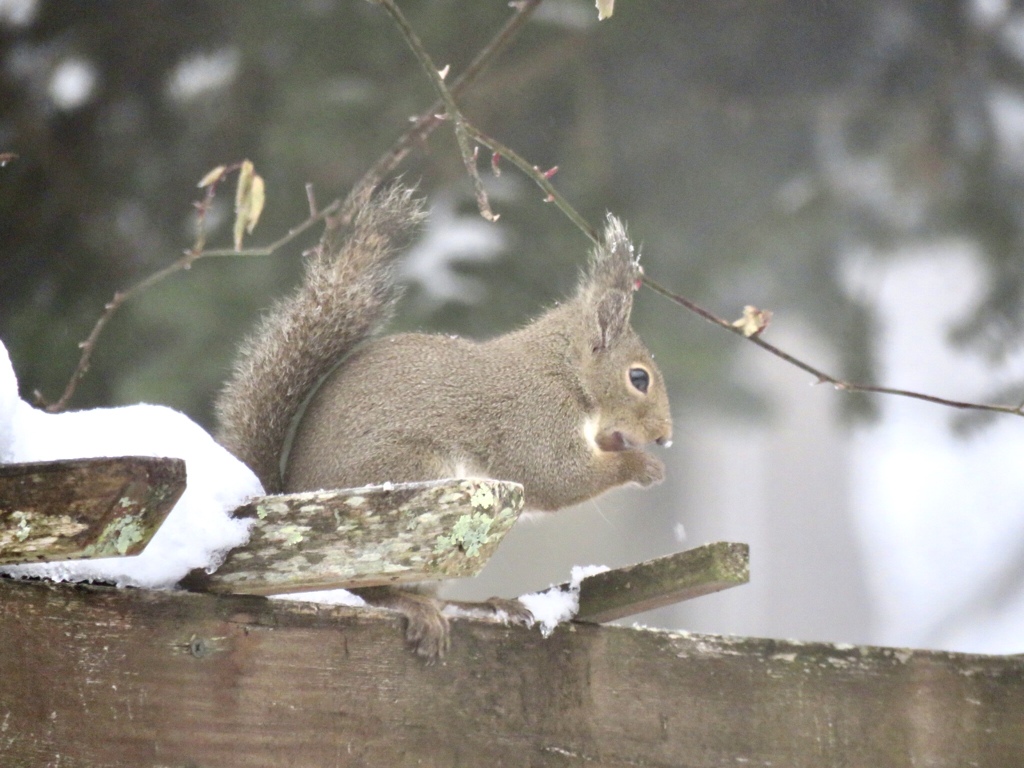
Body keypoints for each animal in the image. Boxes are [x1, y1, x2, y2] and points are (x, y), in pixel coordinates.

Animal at [214, 186, 671, 663]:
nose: (664, 436)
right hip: (410, 494)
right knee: (369, 590)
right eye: (639, 378)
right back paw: (415, 607)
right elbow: (558, 477)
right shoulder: (534, 419)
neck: (563, 371)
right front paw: (642, 467)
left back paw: (485, 605)